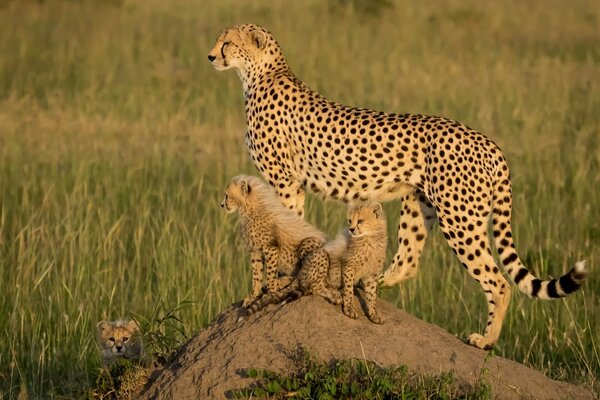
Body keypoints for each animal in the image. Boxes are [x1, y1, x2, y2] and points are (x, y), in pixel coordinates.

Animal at [209, 23, 588, 348]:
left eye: (227, 42)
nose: (211, 56)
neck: (262, 74)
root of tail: (488, 141)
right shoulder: (293, 183)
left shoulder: (284, 179)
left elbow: (285, 225)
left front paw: (276, 282)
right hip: (419, 203)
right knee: (408, 261)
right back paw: (369, 283)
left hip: (460, 218)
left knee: (498, 280)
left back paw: (485, 340)